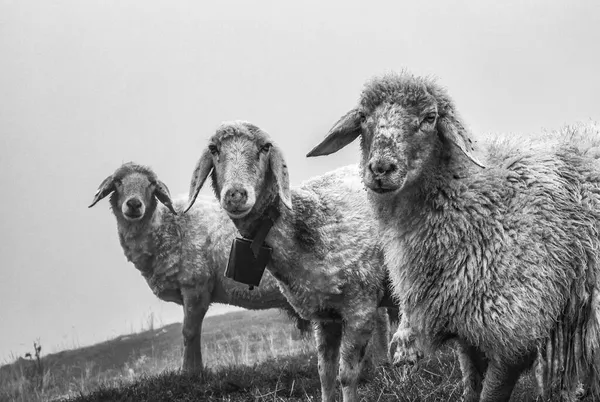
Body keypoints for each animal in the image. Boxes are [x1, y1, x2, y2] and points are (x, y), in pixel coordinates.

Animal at [89, 163, 314, 374]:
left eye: (151, 184)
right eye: (117, 182)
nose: (134, 204)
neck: (168, 227)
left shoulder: (196, 286)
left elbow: (189, 331)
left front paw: (188, 371)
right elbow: (194, 332)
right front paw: (195, 370)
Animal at [310, 73, 600, 402]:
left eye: (430, 117)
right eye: (363, 117)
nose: (381, 169)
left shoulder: (515, 335)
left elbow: (490, 393)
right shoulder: (466, 332)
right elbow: (471, 386)